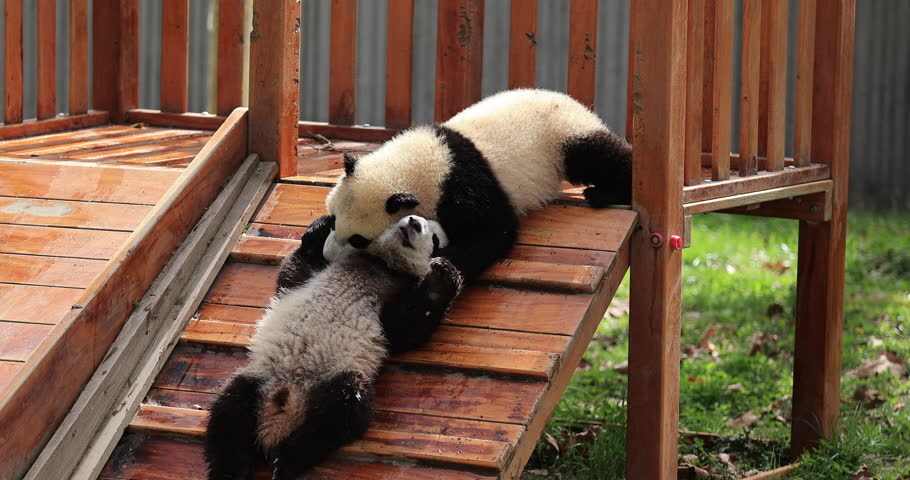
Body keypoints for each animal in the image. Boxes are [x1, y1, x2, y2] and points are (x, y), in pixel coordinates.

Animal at [204, 215, 462, 480]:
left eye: (435, 237)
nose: (413, 222)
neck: (379, 264)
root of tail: (282, 417)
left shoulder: (390, 301)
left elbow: (406, 330)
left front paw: (441, 278)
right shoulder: (315, 276)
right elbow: (293, 273)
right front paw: (321, 227)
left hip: (332, 379)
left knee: (339, 413)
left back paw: (287, 460)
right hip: (259, 380)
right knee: (229, 417)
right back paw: (231, 472)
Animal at [321, 88, 632, 279]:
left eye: (359, 239)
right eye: (334, 218)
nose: (328, 254)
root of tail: (568, 99)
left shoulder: (461, 187)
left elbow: (495, 232)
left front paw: (443, 255)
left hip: (562, 134)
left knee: (598, 155)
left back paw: (607, 193)